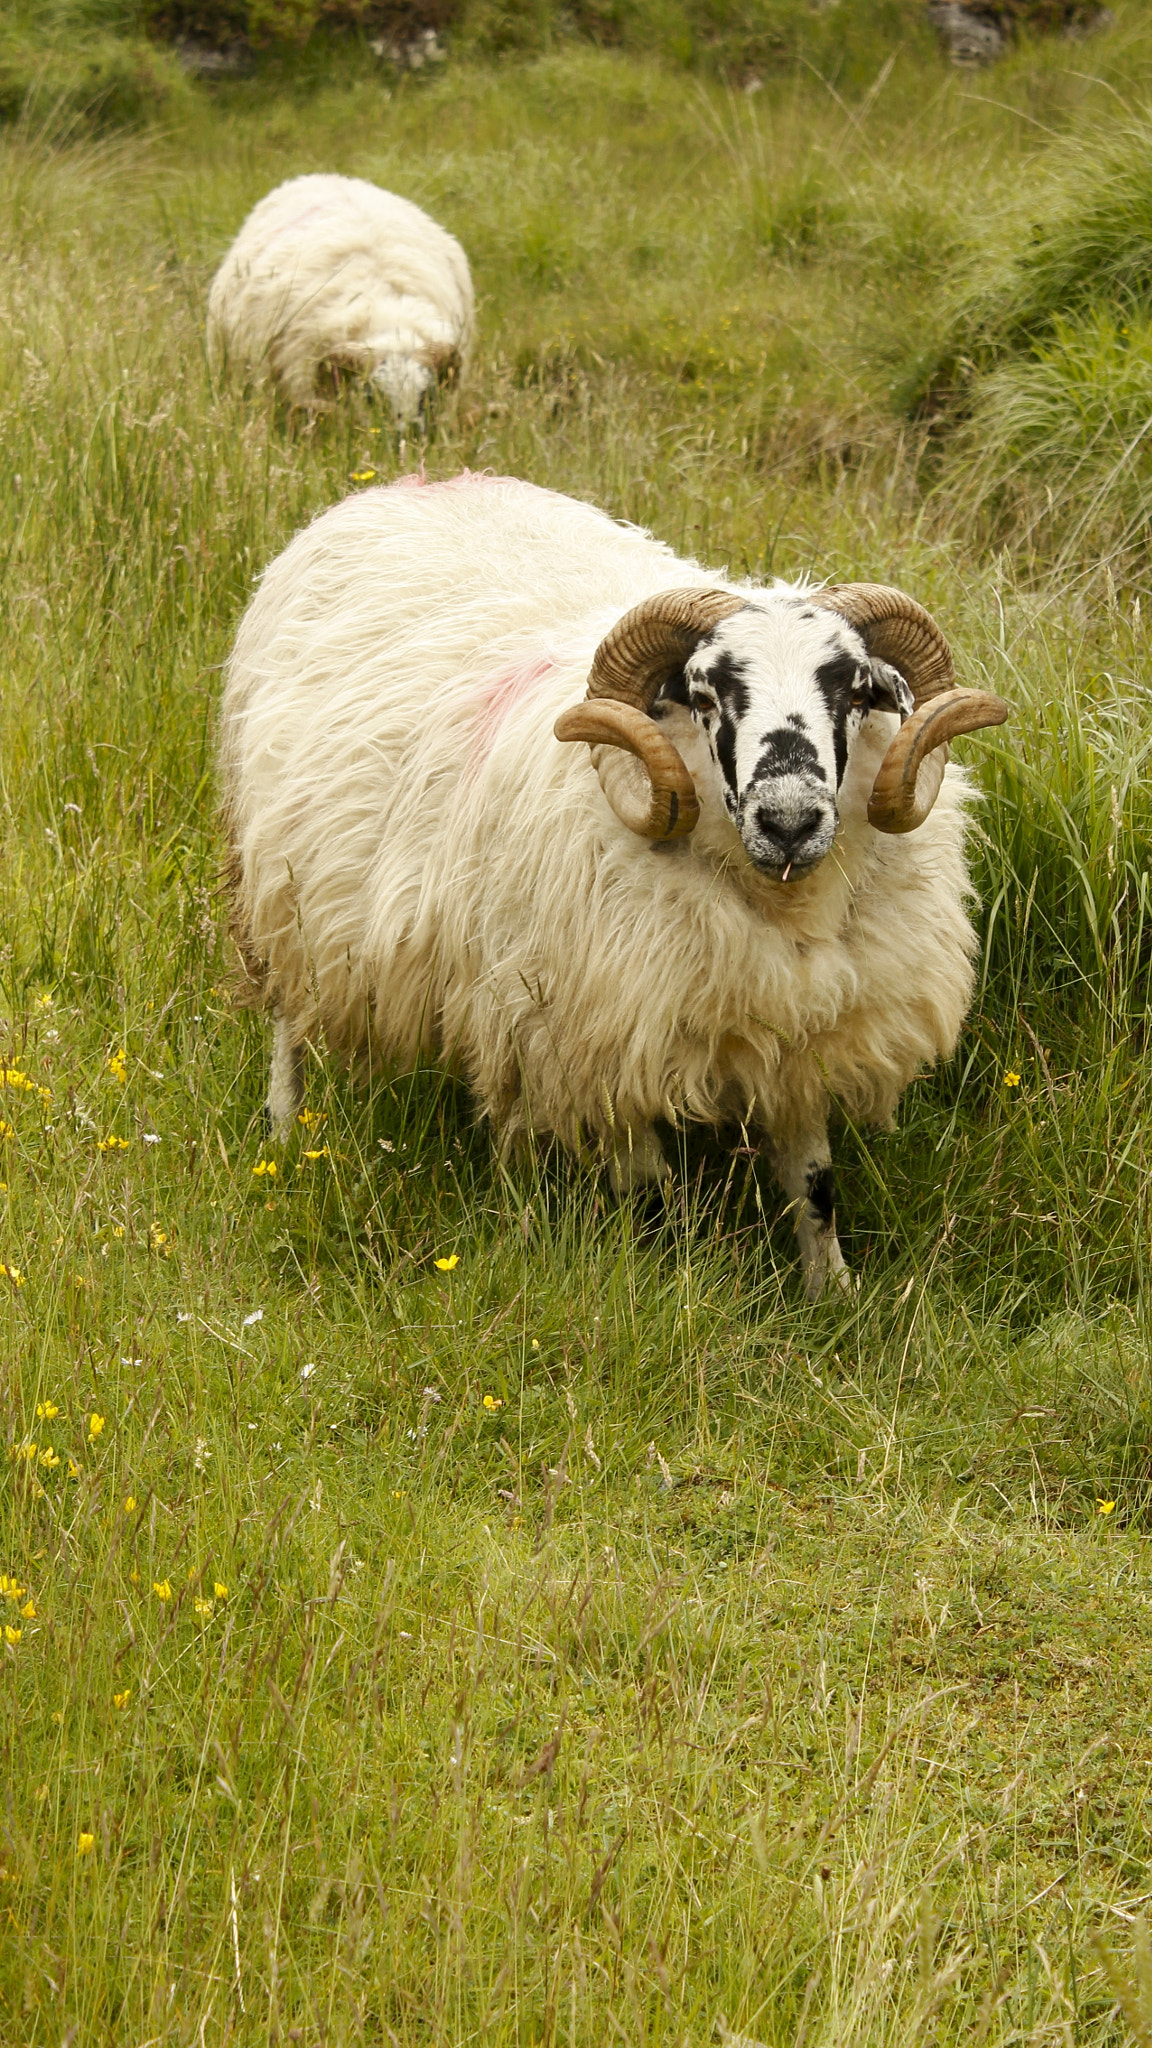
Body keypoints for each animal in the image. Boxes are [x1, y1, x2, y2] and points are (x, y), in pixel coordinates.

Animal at [217, 471, 1004, 1294]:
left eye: (854, 692)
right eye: (703, 696)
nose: (789, 820)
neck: (784, 906)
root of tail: (414, 481)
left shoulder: (801, 1036)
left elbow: (814, 1185)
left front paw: (834, 1292)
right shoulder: (602, 1040)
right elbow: (653, 1194)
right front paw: (678, 1284)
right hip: (279, 879)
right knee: (286, 1016)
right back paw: (285, 1130)